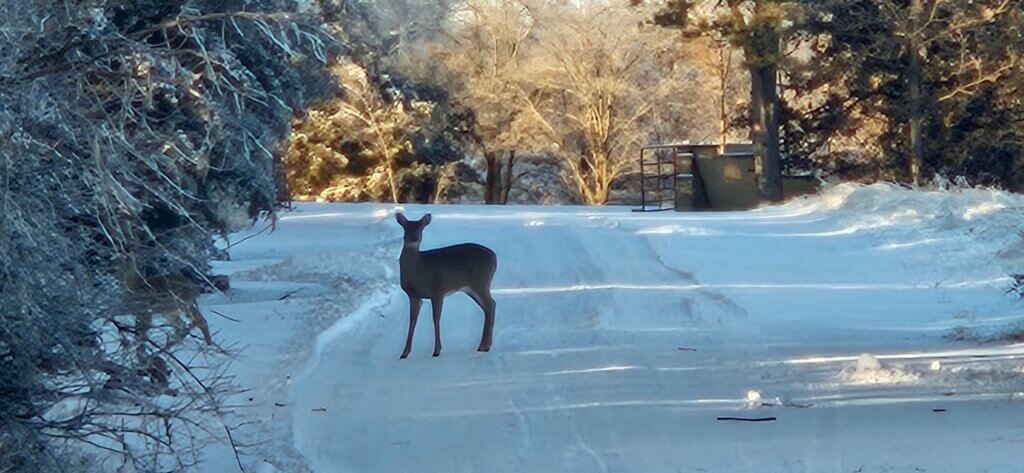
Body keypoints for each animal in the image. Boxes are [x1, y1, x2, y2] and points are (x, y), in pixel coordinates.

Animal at [395, 211, 495, 358]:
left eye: (420, 228)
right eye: (406, 228)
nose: (413, 239)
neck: (418, 270)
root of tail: (495, 257)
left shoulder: (437, 290)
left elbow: (435, 319)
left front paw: (436, 351)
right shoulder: (414, 295)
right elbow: (412, 321)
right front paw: (404, 353)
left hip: (480, 281)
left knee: (491, 304)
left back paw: (484, 346)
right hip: (471, 288)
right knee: (488, 307)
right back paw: (484, 346)